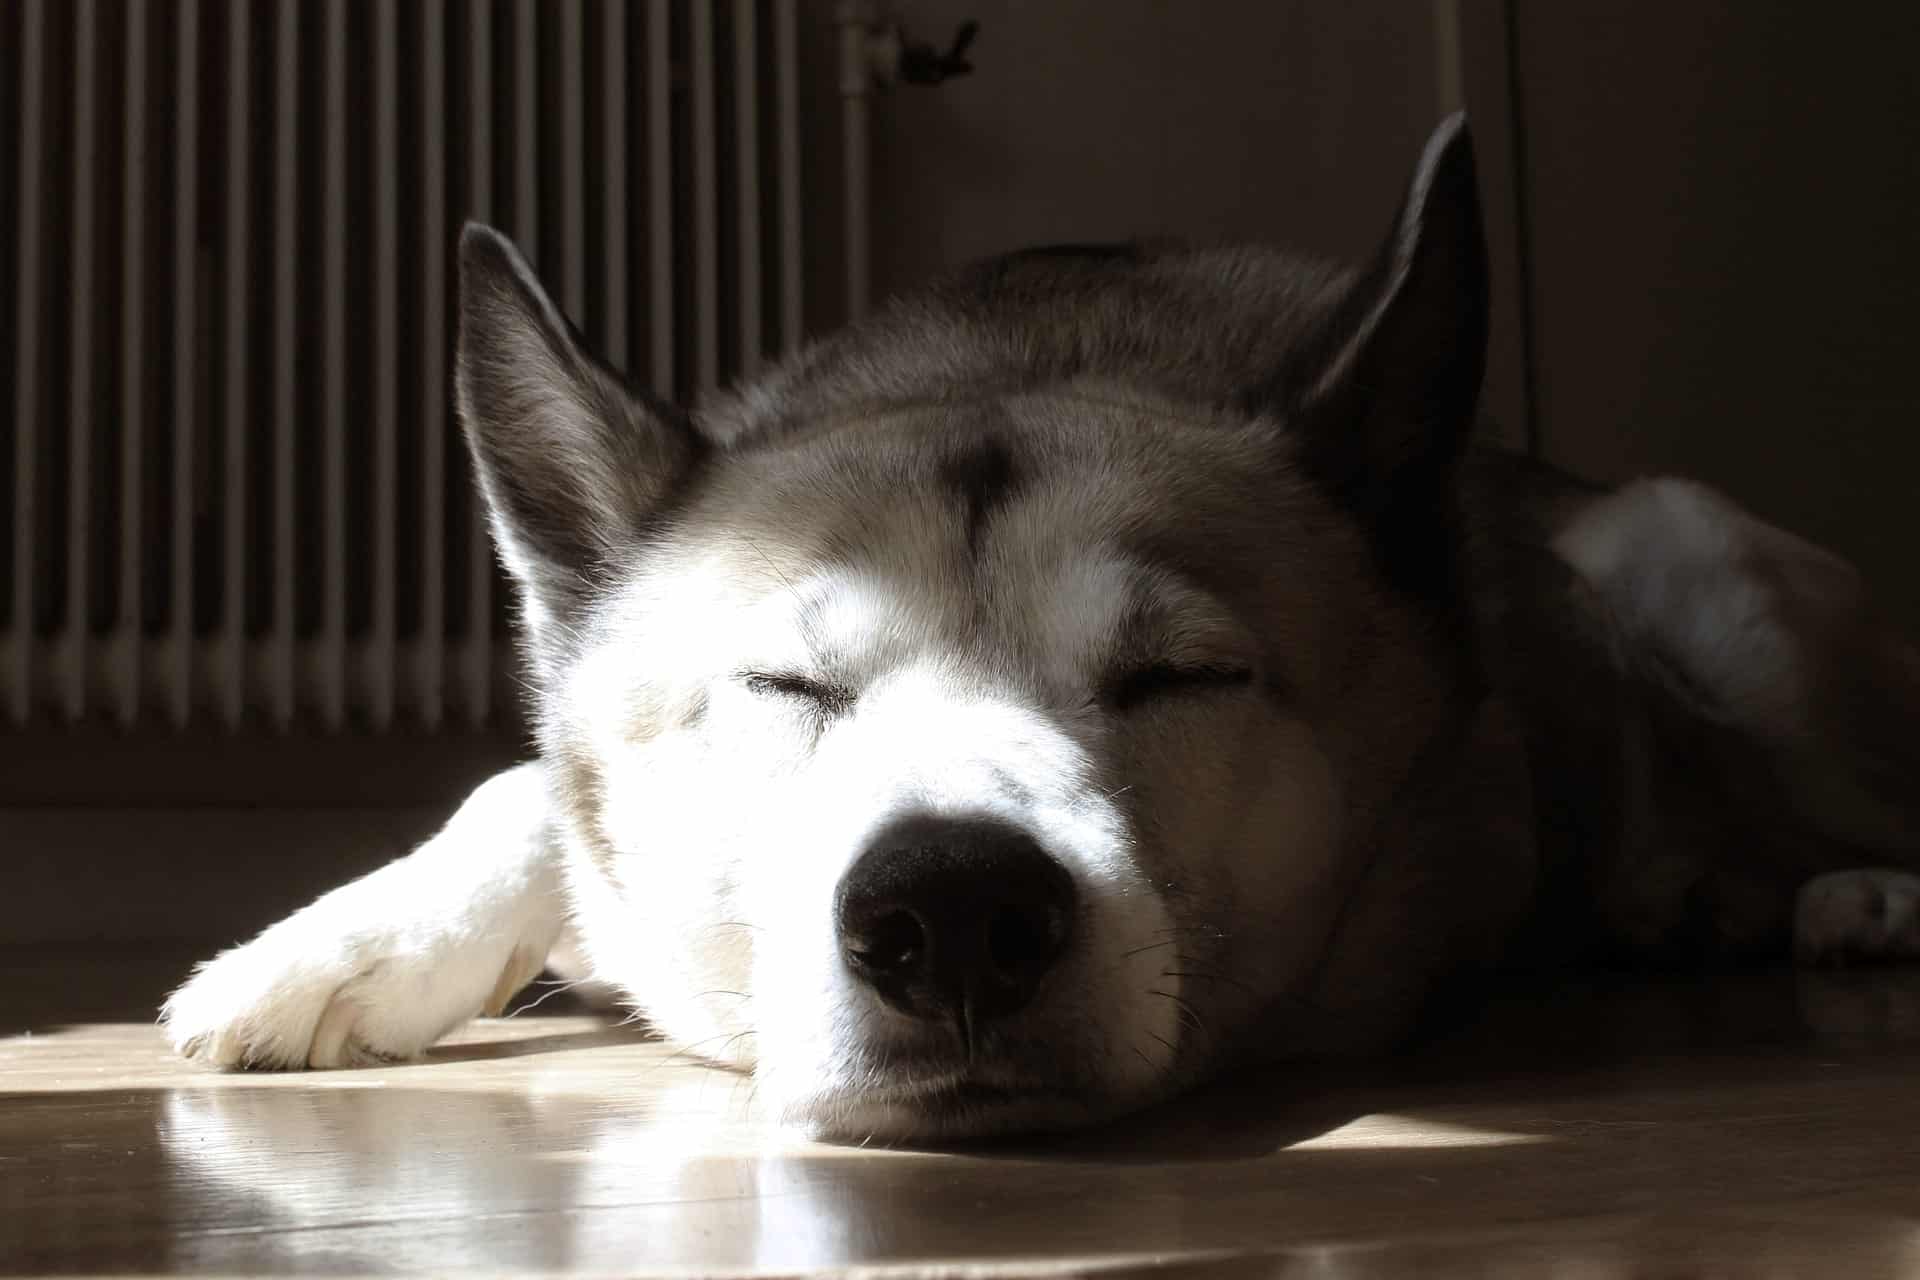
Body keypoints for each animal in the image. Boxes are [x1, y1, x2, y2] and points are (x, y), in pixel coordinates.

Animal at [161, 119, 1920, 1143]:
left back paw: (1850, 896)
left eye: (1179, 676)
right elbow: (525, 787)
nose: (948, 918)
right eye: (785, 684)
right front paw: (340, 943)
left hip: (1688, 562)